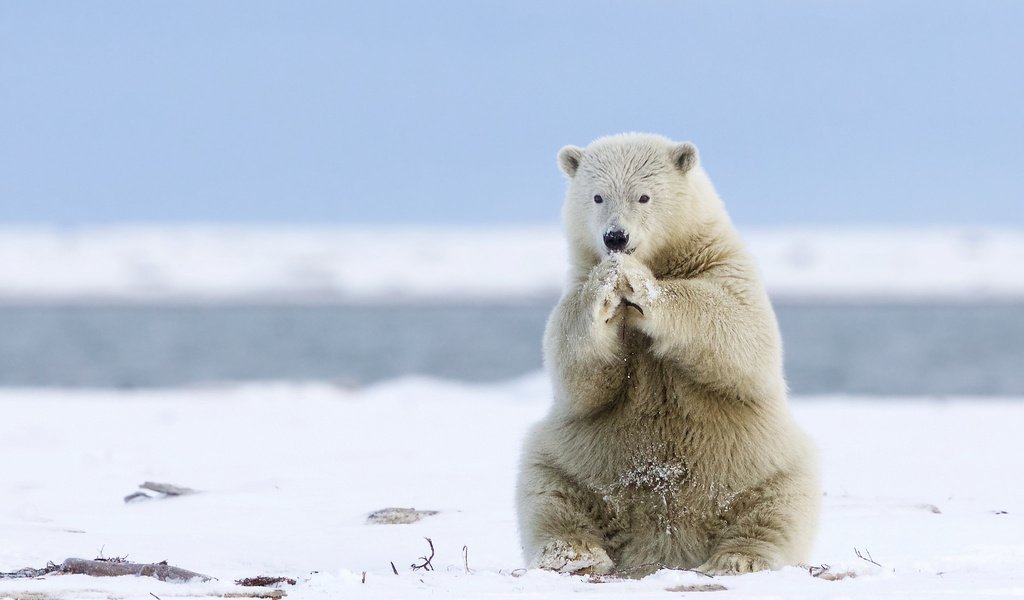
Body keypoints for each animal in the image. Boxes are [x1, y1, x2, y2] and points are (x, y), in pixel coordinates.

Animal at [516, 132, 819, 573]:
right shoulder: (574, 283)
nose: (615, 237)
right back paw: (574, 552)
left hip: (761, 462)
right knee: (549, 490)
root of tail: (663, 547)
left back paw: (738, 557)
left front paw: (639, 283)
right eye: (597, 196)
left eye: (644, 196)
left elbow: (741, 331)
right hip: (576, 459)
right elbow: (576, 371)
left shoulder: (724, 266)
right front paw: (607, 285)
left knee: (779, 504)